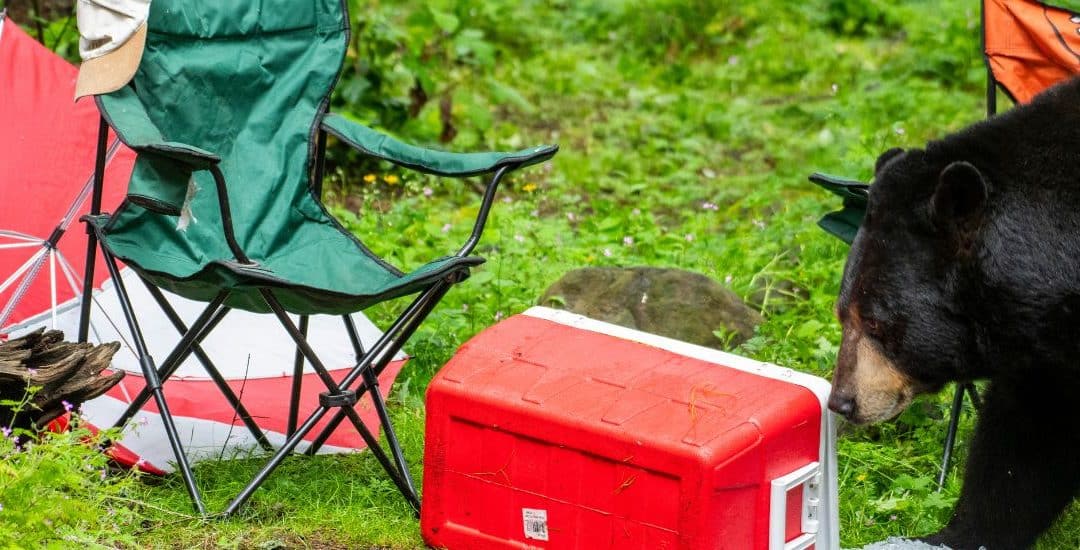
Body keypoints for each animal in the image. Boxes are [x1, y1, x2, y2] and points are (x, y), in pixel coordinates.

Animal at [827, 75, 1080, 549]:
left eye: (875, 320)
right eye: (841, 313)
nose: (843, 401)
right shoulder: (1047, 356)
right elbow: (1027, 440)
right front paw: (957, 533)